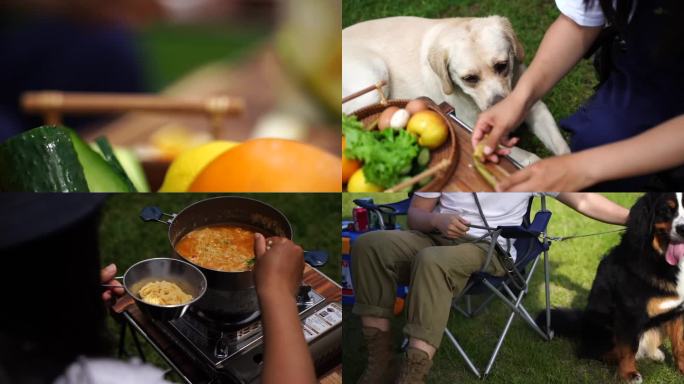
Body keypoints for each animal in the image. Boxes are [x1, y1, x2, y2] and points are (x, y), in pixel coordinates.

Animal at [342, 16, 572, 159]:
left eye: (502, 65)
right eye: (470, 78)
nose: (500, 107)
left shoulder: (534, 107)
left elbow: (563, 148)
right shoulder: (475, 133)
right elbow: (531, 160)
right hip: (375, 79)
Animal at [540, 192, 684, 380]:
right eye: (667, 210)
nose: (682, 229)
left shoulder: (679, 311)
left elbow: (680, 344)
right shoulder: (629, 312)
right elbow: (629, 348)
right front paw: (628, 374)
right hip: (603, 324)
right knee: (592, 351)